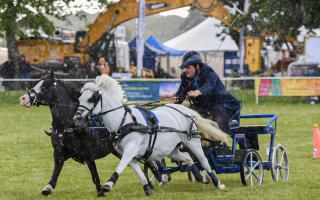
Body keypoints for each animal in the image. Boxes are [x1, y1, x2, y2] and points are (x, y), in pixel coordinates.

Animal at [75, 75, 229, 195]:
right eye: (80, 99)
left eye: (91, 99)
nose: (77, 118)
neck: (123, 121)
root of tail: (184, 110)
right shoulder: (129, 154)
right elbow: (139, 171)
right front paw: (147, 189)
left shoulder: (130, 149)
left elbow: (120, 167)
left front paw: (108, 185)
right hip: (172, 149)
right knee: (187, 158)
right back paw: (200, 178)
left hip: (193, 143)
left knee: (204, 161)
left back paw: (218, 184)